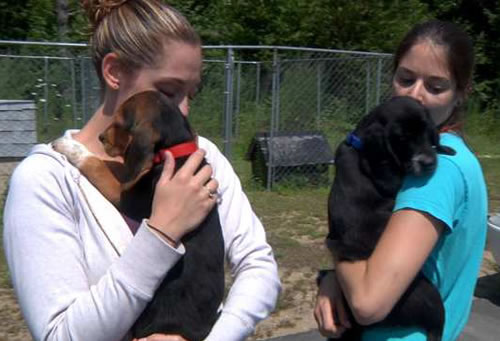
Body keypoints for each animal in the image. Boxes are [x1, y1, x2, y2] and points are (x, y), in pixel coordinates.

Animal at [326, 95, 456, 340]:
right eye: (402, 139)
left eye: (427, 131)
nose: (428, 162)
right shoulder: (388, 177)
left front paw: (445, 148)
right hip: (426, 295)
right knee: (438, 324)